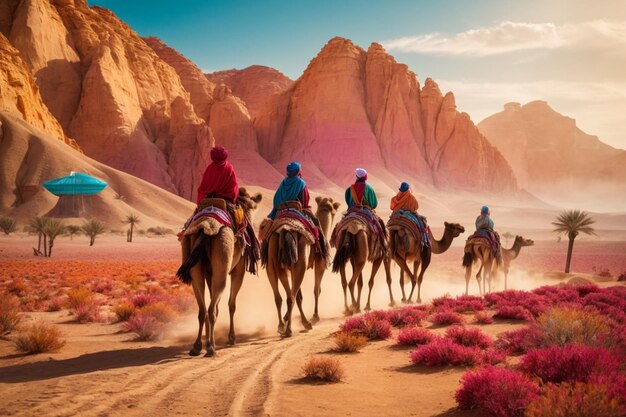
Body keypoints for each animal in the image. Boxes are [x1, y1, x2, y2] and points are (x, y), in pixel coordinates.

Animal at [177, 188, 262, 354]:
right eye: (253, 206)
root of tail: (205, 227)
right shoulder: (238, 270)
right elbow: (231, 304)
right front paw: (231, 338)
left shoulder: (210, 273)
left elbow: (214, 301)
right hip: (223, 259)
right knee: (212, 308)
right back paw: (211, 347)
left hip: (194, 265)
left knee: (203, 309)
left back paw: (198, 346)